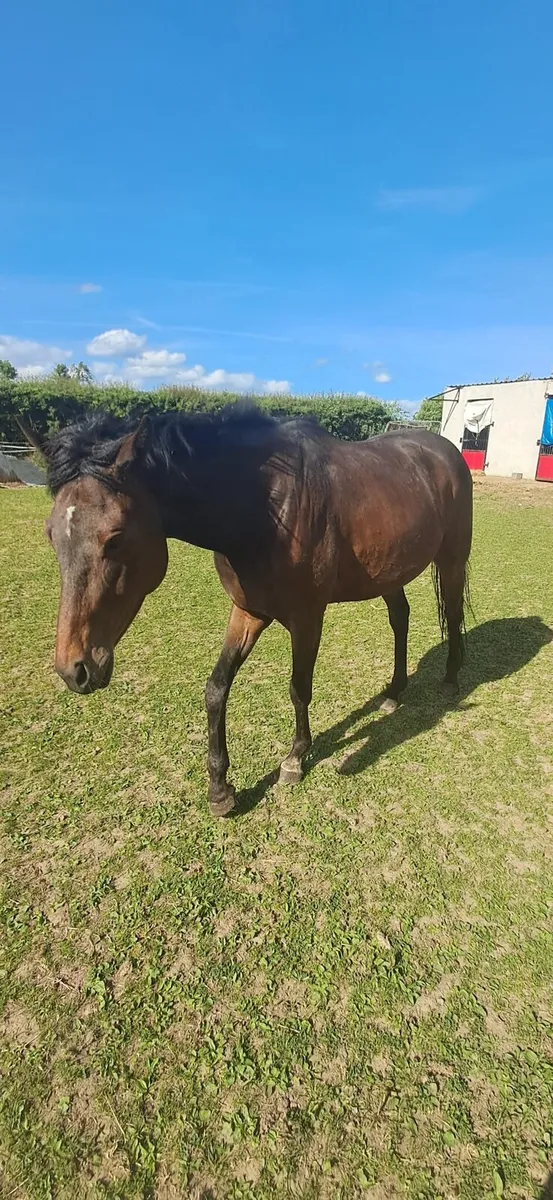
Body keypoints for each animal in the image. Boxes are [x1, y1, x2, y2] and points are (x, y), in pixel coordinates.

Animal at [44, 406, 473, 816]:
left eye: (114, 539)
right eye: (51, 534)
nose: (74, 669)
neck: (266, 510)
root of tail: (445, 450)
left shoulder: (307, 618)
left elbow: (299, 688)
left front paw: (295, 758)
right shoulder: (247, 611)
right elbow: (216, 689)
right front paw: (220, 788)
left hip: (452, 559)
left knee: (452, 615)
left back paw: (451, 678)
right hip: (389, 572)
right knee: (400, 618)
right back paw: (394, 692)